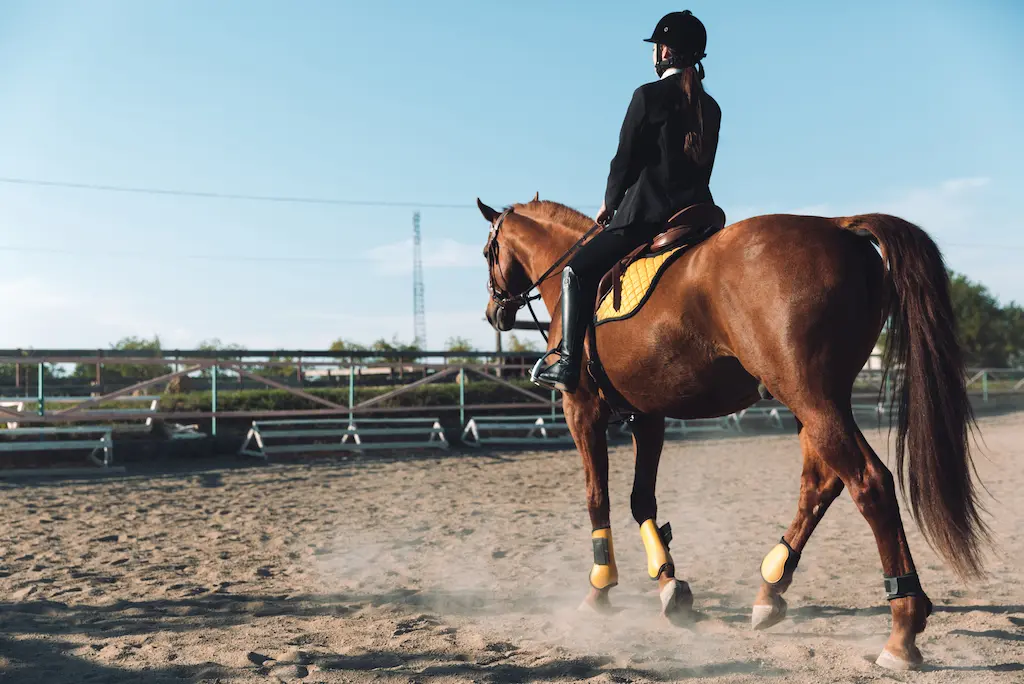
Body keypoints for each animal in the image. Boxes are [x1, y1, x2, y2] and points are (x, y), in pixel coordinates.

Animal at [476, 196, 988, 671]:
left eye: (487, 251)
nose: (493, 313)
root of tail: (836, 225)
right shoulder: (648, 418)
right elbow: (642, 501)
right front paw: (669, 585)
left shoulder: (580, 410)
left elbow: (596, 498)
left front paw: (600, 589)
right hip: (817, 400)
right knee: (821, 484)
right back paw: (771, 590)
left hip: (809, 396)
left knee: (870, 483)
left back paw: (901, 631)